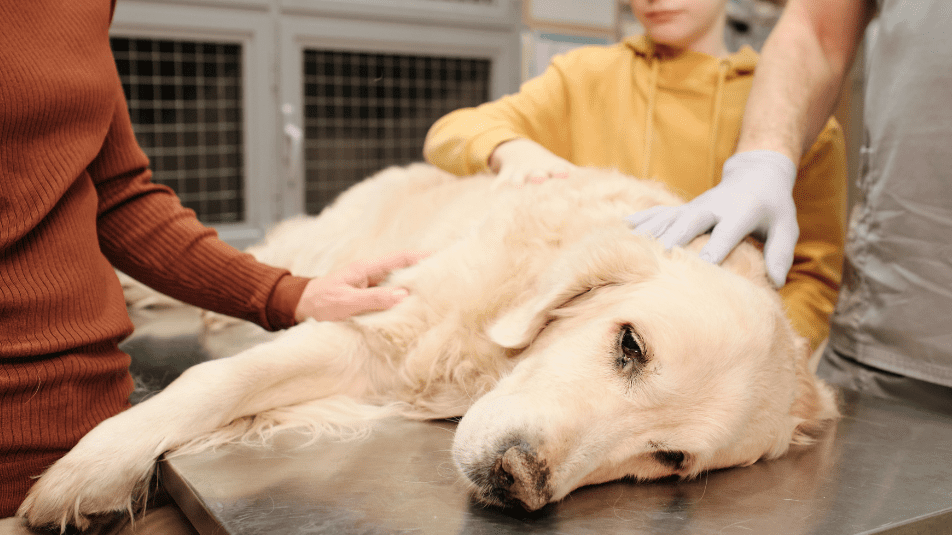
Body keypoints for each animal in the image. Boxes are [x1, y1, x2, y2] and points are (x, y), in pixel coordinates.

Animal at [13, 164, 832, 532]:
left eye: (670, 459)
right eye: (630, 345)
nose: (516, 478)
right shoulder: (375, 326)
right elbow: (216, 381)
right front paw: (89, 469)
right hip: (316, 252)